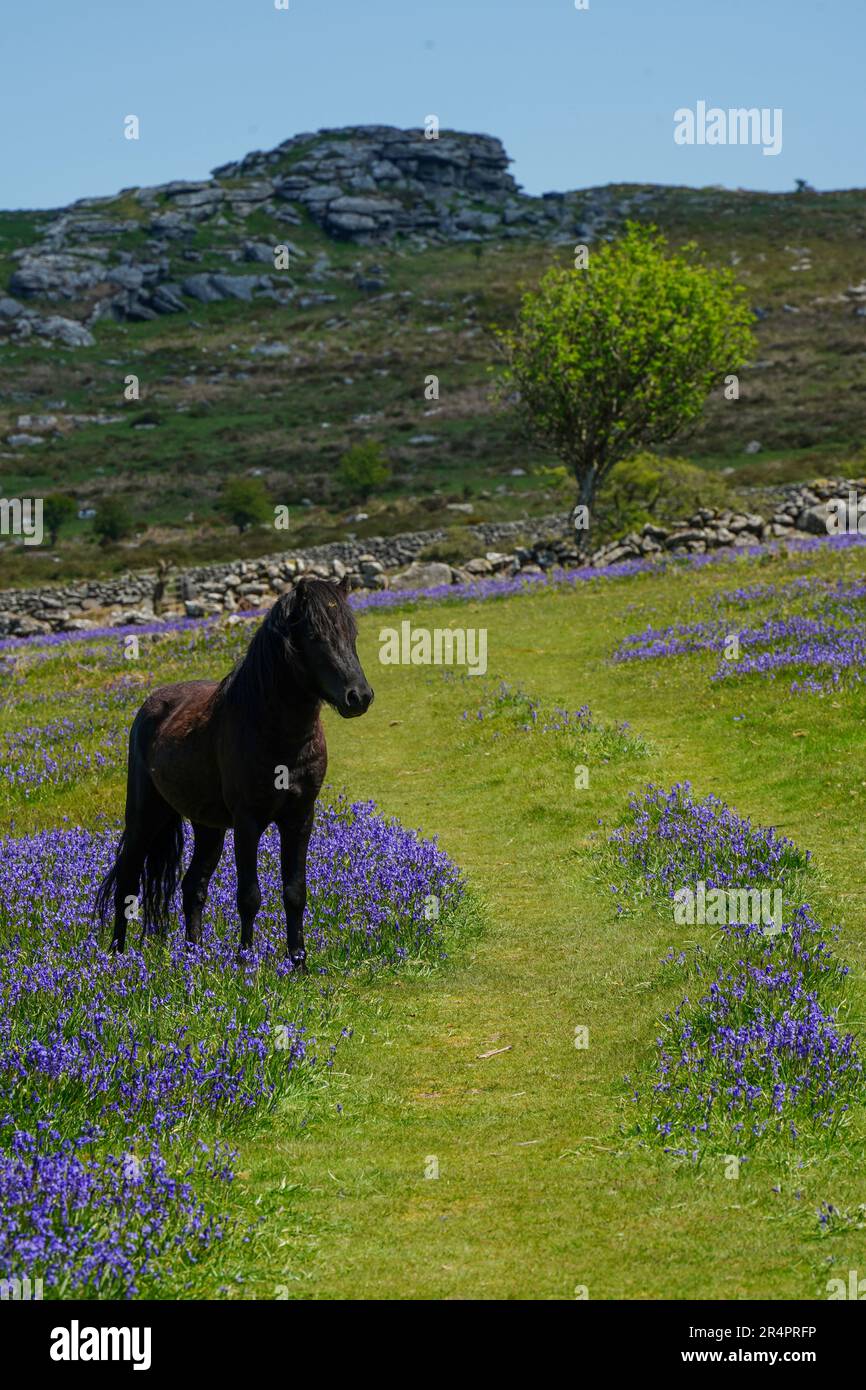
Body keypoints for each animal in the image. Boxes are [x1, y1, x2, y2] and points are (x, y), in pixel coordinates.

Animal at [96, 575, 374, 966]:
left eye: (352, 634)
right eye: (315, 635)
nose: (359, 697)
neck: (276, 734)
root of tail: (151, 705)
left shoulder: (300, 817)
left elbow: (295, 892)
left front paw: (298, 962)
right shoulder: (247, 822)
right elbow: (249, 895)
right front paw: (246, 961)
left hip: (207, 828)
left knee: (193, 885)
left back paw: (193, 954)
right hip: (144, 817)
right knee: (127, 882)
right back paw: (117, 956)